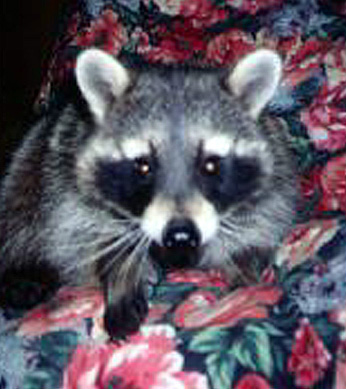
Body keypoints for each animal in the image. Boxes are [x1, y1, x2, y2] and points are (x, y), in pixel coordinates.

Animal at [0, 48, 298, 338]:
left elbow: (259, 226)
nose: (181, 235)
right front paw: (123, 276)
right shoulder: (72, 187)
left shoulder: (274, 182)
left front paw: (244, 265)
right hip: (34, 159)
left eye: (210, 165)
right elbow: (96, 237)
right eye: (143, 165)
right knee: (19, 206)